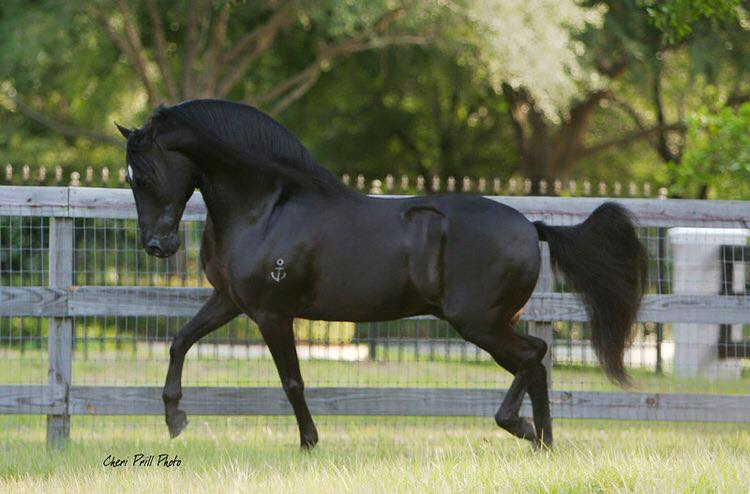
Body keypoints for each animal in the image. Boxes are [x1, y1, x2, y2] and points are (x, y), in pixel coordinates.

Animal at [116, 98, 648, 450]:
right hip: (492, 323)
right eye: (130, 178)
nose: (157, 246)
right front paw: (175, 418)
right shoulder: (230, 301)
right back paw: (541, 441)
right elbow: (180, 341)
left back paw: (521, 428)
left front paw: (309, 443)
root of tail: (532, 227)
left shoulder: (272, 314)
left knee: (533, 356)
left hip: (478, 322)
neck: (265, 207)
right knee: (533, 362)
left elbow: (292, 382)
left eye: (144, 176)